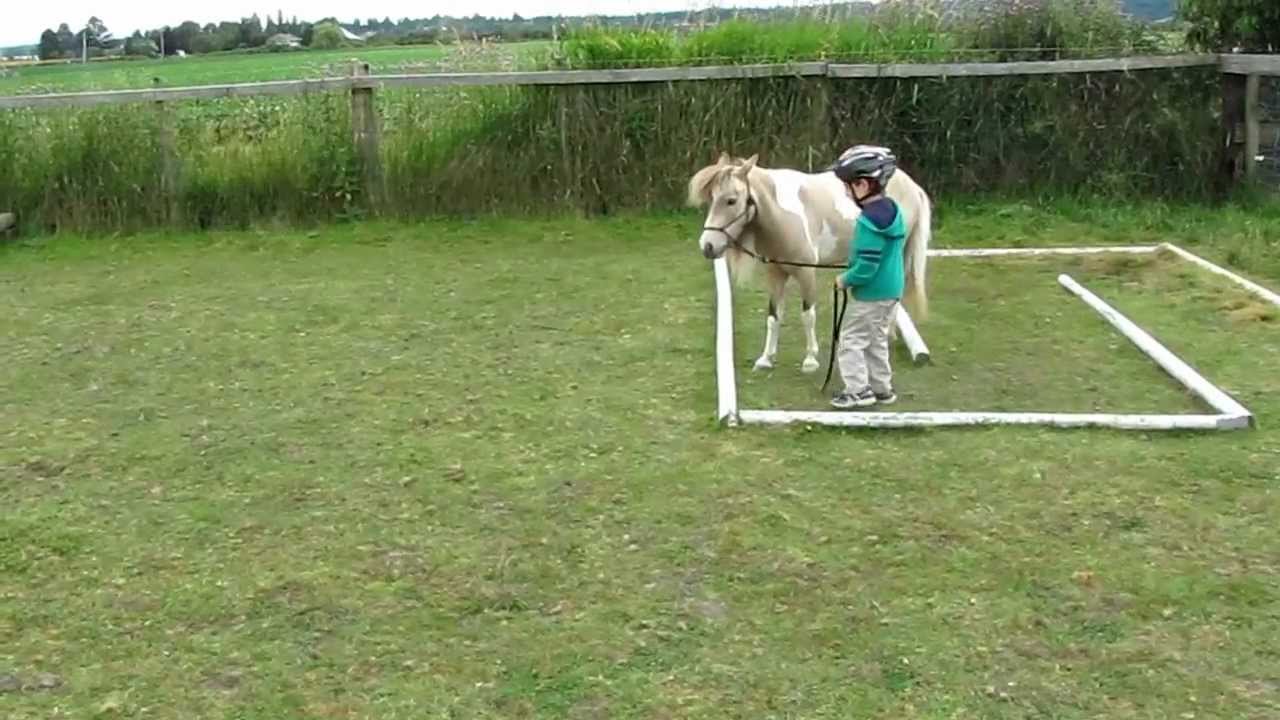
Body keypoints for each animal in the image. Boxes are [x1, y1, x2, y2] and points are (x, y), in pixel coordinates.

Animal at [688, 152, 932, 374]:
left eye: (731, 200)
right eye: (711, 198)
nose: (707, 245)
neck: (783, 217)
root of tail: (912, 185)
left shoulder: (806, 274)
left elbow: (808, 315)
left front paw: (810, 360)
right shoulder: (775, 273)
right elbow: (773, 316)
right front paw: (766, 358)